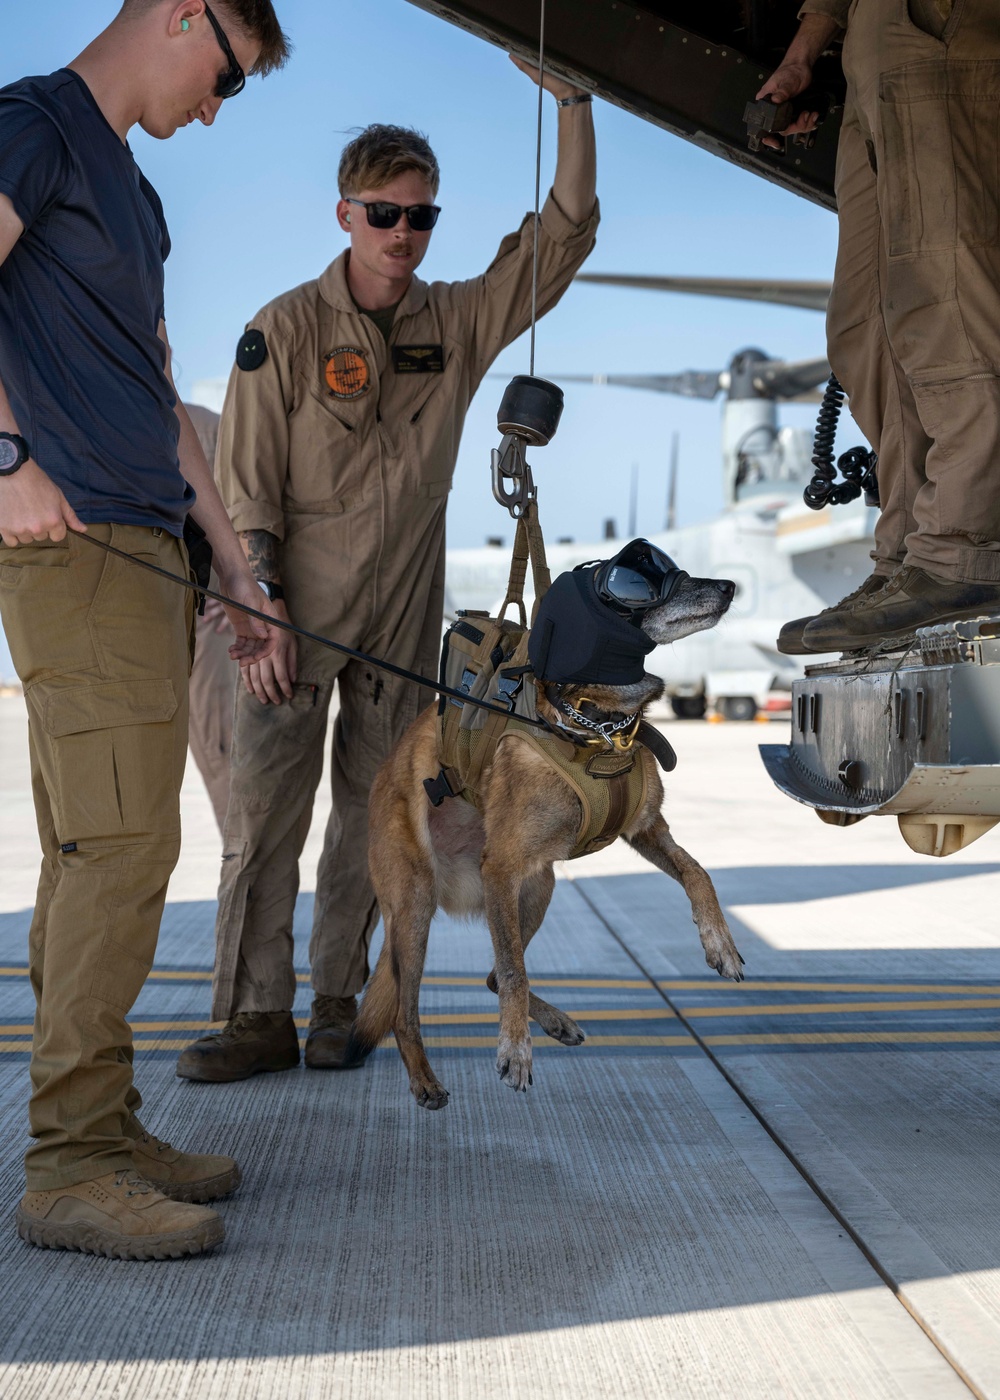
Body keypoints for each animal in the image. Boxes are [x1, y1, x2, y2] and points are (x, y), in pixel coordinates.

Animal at [347, 540, 745, 1108]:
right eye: (640, 579)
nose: (730, 587)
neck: (595, 727)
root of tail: (386, 771)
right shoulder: (502, 868)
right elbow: (516, 973)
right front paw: (514, 1049)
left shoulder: (648, 832)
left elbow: (699, 873)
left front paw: (720, 943)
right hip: (420, 902)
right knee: (411, 1008)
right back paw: (424, 1079)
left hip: (538, 886)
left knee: (491, 976)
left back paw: (554, 1022)